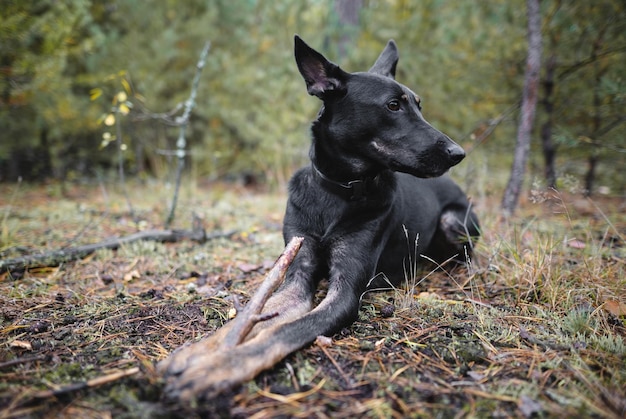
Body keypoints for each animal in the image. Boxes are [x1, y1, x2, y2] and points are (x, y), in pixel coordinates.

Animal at [157, 36, 478, 400]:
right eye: (394, 106)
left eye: (418, 106)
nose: (458, 153)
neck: (337, 192)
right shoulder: (298, 270)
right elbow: (250, 318)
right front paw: (198, 352)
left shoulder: (346, 291)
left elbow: (285, 331)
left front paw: (219, 368)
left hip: (454, 222)